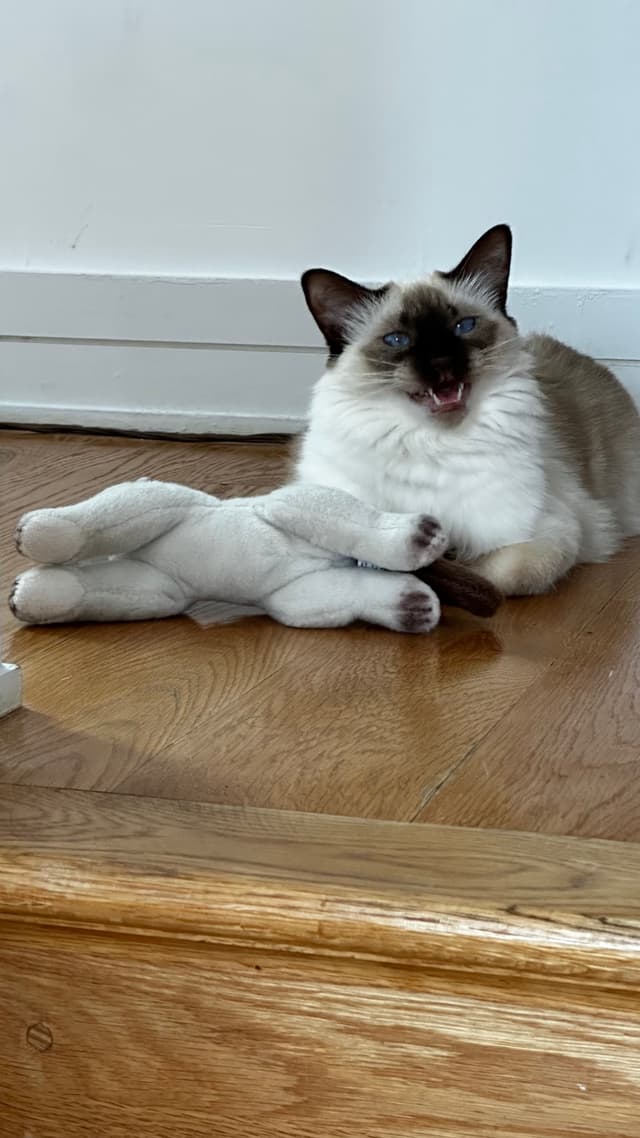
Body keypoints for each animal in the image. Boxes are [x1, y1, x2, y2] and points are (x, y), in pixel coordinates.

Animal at [293, 223, 637, 596]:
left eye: (464, 327)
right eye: (398, 340)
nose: (443, 362)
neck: (428, 442)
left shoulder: (549, 532)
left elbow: (495, 577)